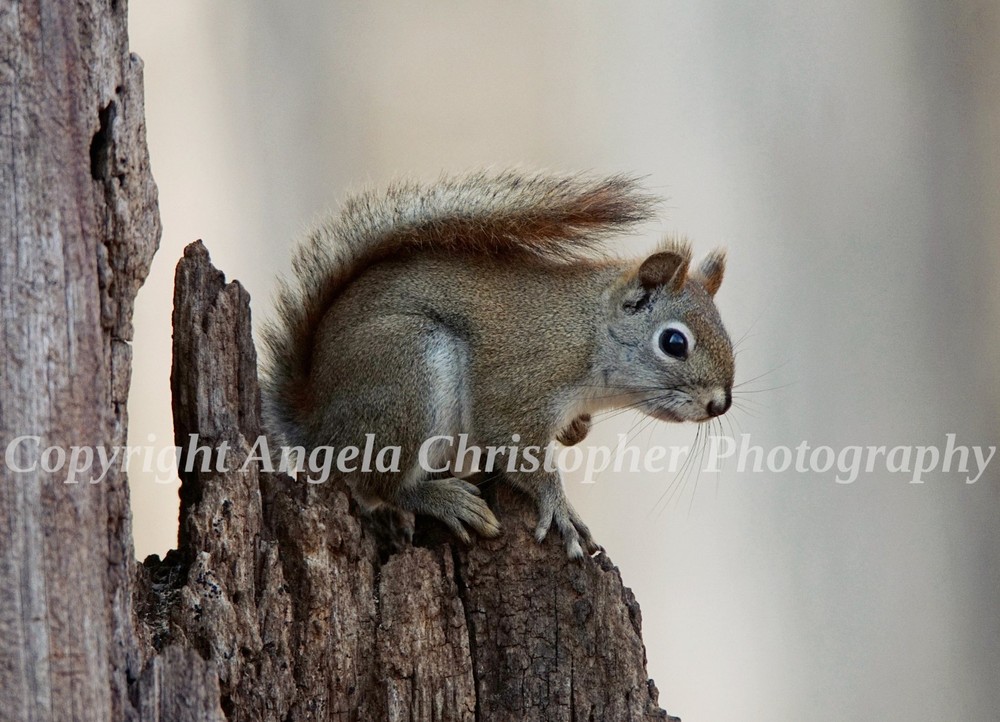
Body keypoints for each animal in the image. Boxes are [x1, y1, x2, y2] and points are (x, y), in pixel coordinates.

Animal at [260, 170, 734, 558]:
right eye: (674, 342)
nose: (720, 404)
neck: (587, 334)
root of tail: (317, 427)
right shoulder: (521, 385)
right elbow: (518, 449)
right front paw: (560, 509)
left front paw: (576, 430)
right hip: (404, 376)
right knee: (381, 485)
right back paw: (446, 501)